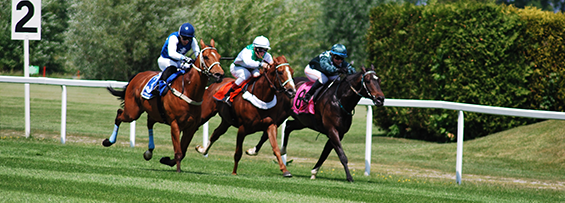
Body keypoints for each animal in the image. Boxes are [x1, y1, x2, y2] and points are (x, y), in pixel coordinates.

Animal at [102, 38, 224, 172]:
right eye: (206, 57)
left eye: (219, 56)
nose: (219, 74)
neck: (188, 89)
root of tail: (137, 76)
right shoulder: (175, 124)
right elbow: (179, 152)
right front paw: (178, 170)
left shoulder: (191, 127)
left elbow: (183, 151)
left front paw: (167, 161)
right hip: (132, 112)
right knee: (119, 114)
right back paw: (109, 141)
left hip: (154, 113)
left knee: (149, 122)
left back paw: (149, 151)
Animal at [247, 65, 384, 182]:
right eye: (368, 80)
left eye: (379, 80)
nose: (380, 99)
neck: (339, 100)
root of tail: (283, 86)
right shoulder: (332, 130)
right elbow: (342, 155)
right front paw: (349, 178)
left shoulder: (338, 133)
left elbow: (325, 153)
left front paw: (314, 172)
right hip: (281, 115)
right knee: (267, 132)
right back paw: (253, 150)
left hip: (303, 121)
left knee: (289, 126)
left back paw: (282, 150)